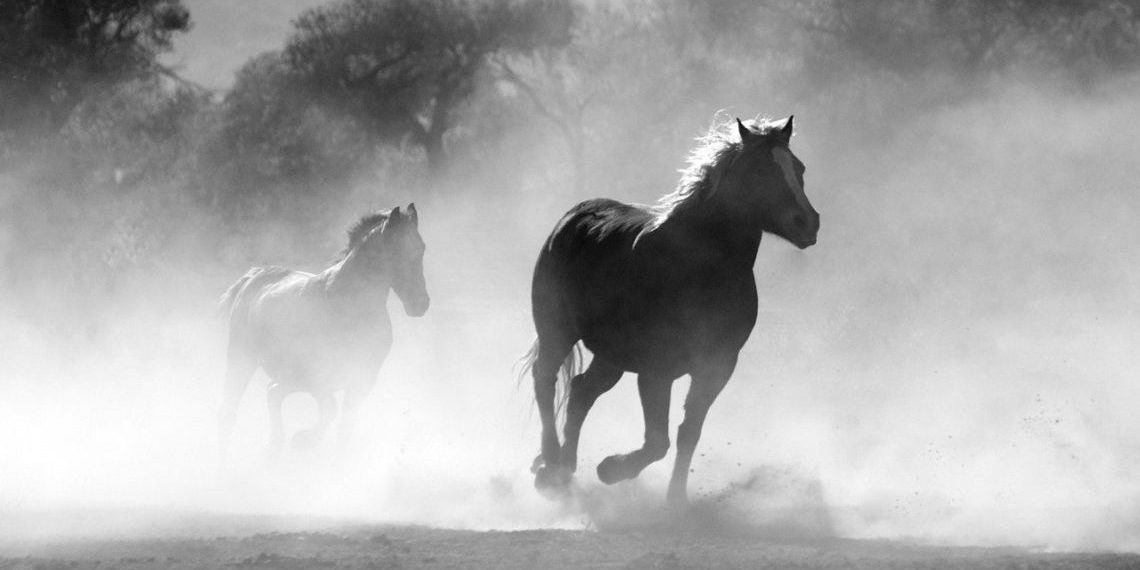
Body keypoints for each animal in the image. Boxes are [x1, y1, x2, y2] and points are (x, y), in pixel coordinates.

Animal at [217, 204, 429, 463]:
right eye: (396, 251)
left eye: (421, 248)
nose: (421, 304)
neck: (349, 305)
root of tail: (253, 277)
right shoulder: (319, 376)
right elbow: (330, 410)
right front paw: (303, 440)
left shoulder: (362, 379)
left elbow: (344, 428)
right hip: (242, 359)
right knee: (230, 409)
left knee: (272, 392)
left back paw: (274, 445)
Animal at [522, 115, 819, 506]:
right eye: (759, 170)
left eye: (798, 168)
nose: (808, 223)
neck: (700, 268)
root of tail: (573, 217)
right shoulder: (656, 370)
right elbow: (657, 441)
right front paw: (611, 469)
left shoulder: (717, 366)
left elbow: (687, 433)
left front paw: (675, 500)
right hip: (556, 331)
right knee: (545, 380)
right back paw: (551, 465)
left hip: (612, 356)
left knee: (581, 391)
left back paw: (565, 468)